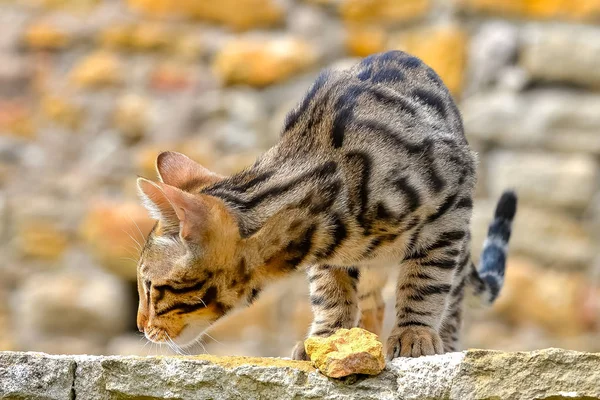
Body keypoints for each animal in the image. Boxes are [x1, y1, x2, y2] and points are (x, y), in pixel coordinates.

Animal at [135, 50, 516, 360]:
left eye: (152, 288)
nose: (140, 325)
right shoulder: (325, 252)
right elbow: (331, 293)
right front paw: (330, 337)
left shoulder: (449, 208)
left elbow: (426, 281)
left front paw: (414, 332)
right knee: (373, 302)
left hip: (458, 236)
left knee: (451, 297)